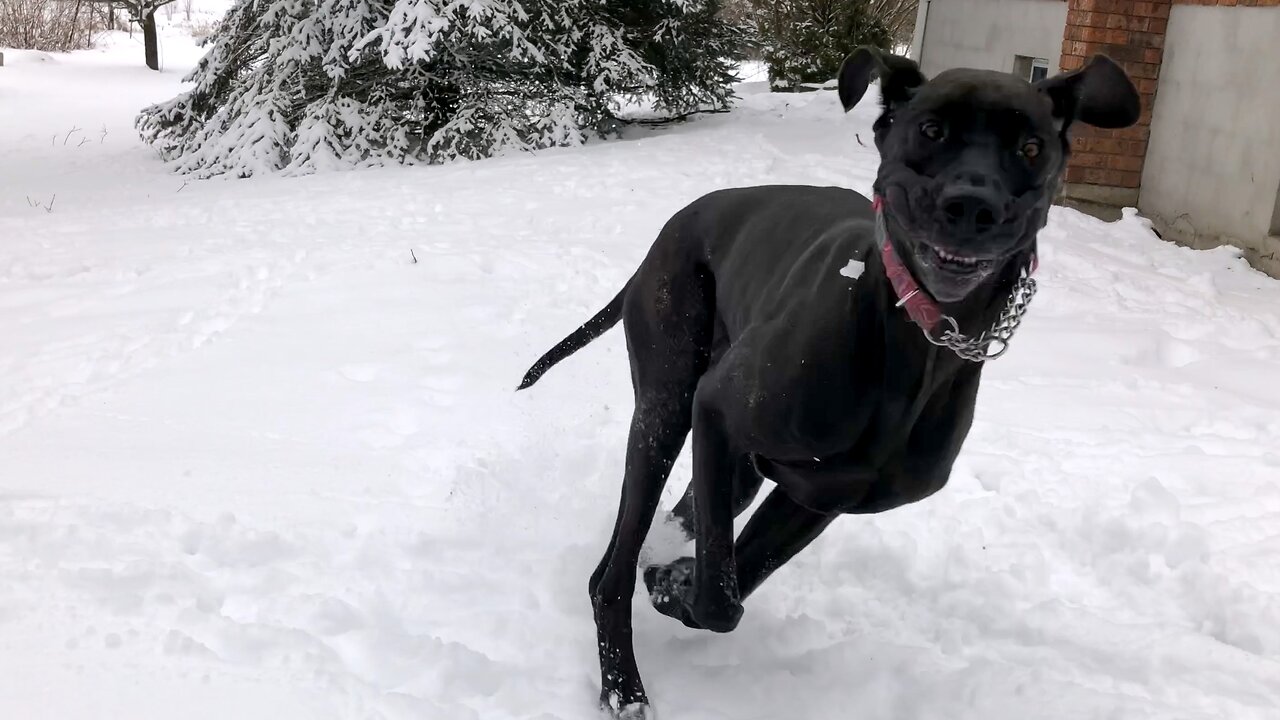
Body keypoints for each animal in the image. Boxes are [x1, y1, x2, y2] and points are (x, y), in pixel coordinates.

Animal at [519, 47, 1141, 712]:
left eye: (1030, 146)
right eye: (931, 130)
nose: (973, 205)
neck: (915, 345)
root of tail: (668, 233)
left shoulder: (819, 495)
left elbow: (741, 570)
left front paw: (672, 577)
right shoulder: (718, 411)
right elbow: (720, 602)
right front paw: (675, 586)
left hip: (734, 461)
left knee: (693, 515)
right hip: (666, 408)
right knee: (610, 570)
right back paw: (623, 685)